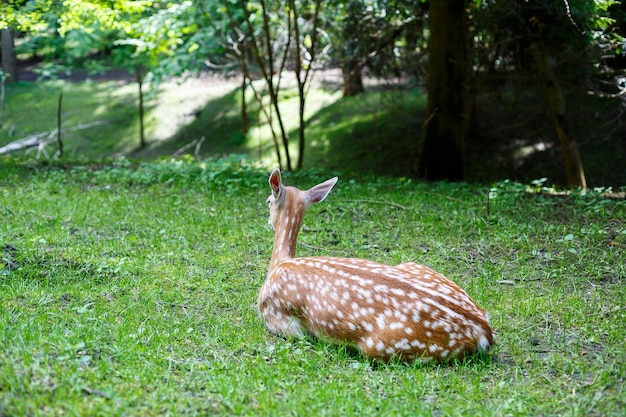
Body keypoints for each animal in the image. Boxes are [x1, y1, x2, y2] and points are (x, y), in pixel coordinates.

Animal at [258, 169, 492, 360]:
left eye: (268, 201)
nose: (268, 222)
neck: (280, 263)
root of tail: (484, 331)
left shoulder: (279, 319)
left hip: (382, 346)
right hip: (415, 265)